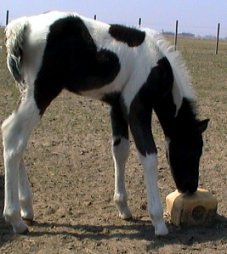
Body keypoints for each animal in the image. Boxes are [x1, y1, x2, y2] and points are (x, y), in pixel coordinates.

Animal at [1, 10, 208, 235]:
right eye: (194, 150)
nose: (190, 188)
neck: (157, 65)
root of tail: (23, 25)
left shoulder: (117, 107)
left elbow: (120, 150)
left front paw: (123, 208)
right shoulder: (137, 108)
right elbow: (149, 155)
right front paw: (159, 222)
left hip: (26, 91)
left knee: (15, 138)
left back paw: (26, 210)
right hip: (41, 93)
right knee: (12, 136)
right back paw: (15, 219)